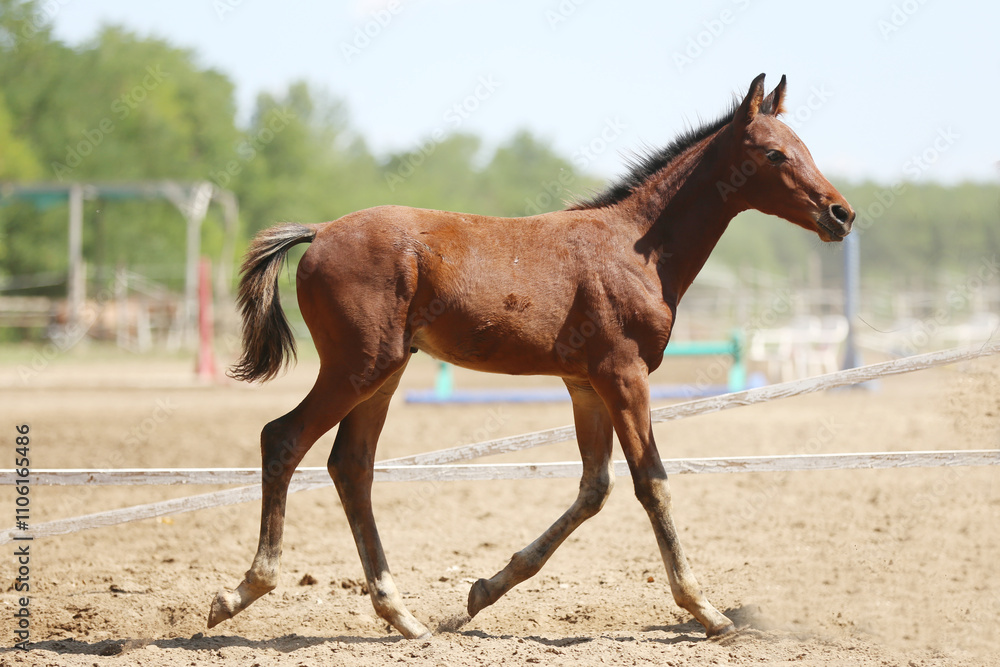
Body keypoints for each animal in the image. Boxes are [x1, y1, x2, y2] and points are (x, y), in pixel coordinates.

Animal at [208, 73, 855, 639]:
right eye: (775, 154)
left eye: (804, 147)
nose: (841, 214)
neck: (637, 249)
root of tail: (319, 232)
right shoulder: (624, 376)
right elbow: (653, 483)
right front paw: (707, 612)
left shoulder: (585, 384)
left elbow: (594, 489)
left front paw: (480, 593)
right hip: (356, 368)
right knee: (284, 439)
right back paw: (241, 593)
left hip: (384, 373)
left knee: (350, 466)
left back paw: (404, 618)